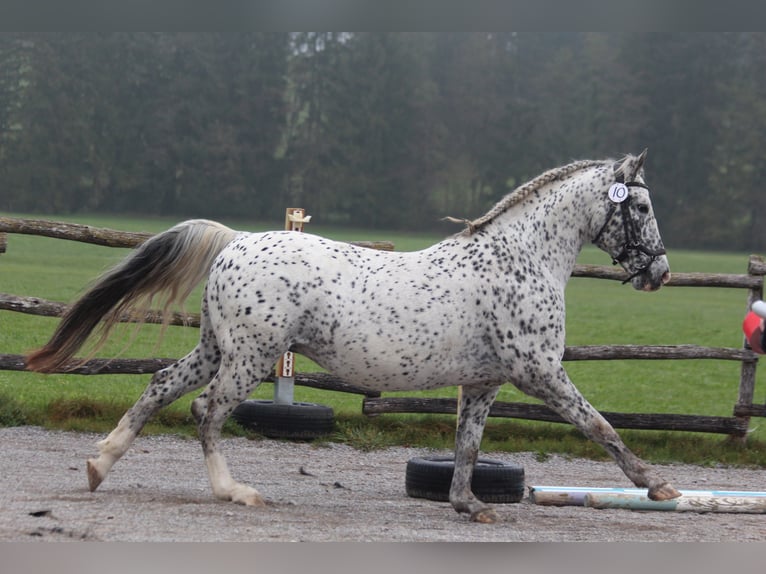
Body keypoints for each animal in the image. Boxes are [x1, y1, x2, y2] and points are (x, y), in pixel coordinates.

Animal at [27, 151, 680, 524]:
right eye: (642, 207)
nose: (661, 273)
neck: (521, 260)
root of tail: (237, 240)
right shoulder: (540, 371)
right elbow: (601, 427)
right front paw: (659, 486)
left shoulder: (485, 382)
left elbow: (468, 445)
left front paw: (468, 505)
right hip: (252, 356)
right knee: (206, 410)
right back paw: (235, 492)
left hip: (218, 347)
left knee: (162, 386)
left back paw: (99, 466)